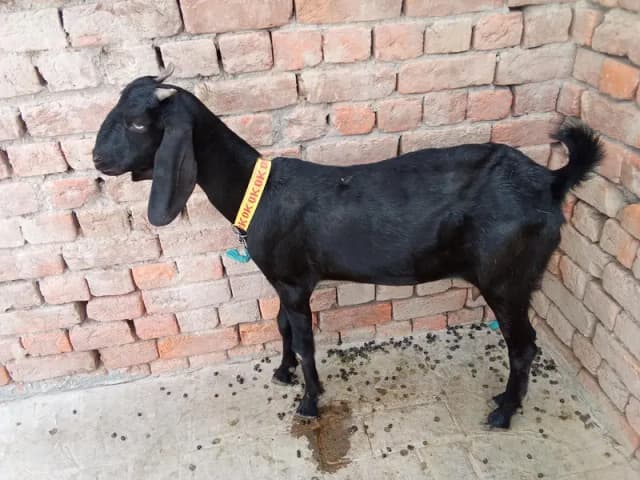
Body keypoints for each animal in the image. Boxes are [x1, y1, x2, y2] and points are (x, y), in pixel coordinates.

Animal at [93, 67, 602, 429]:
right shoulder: (284, 281)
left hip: (506, 278)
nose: (97, 159)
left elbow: (305, 340)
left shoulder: (295, 282)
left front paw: (309, 402)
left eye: (137, 123)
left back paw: (504, 411)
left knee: (524, 346)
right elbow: (282, 327)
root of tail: (551, 182)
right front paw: (282, 373)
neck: (260, 193)